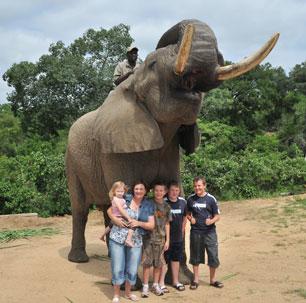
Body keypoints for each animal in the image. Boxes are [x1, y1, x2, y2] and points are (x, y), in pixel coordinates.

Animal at [65, 18, 278, 264]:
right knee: (80, 209)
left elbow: (174, 192)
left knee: (107, 207)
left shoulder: (170, 147)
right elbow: (126, 195)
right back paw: (79, 259)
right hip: (71, 160)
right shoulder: (115, 149)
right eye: (153, 64)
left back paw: (110, 257)